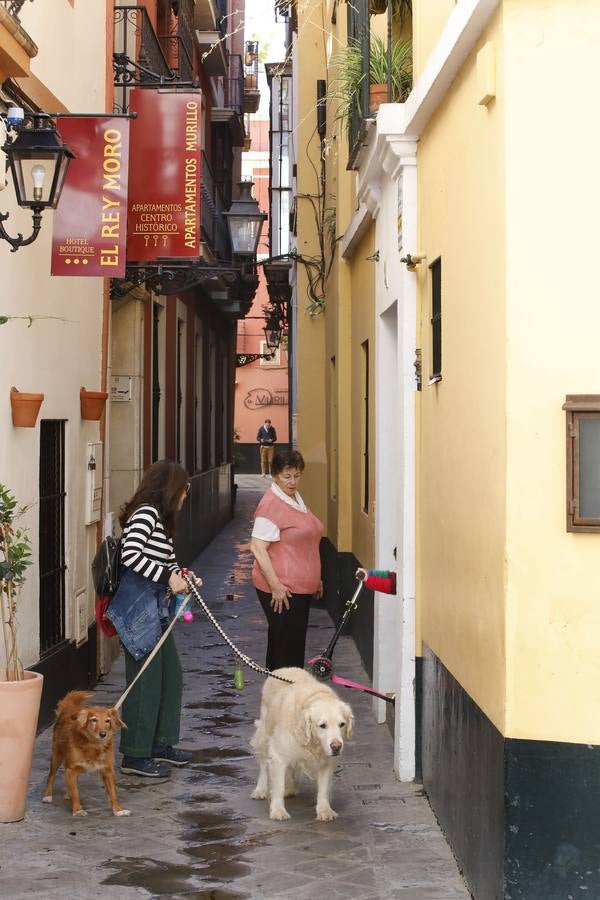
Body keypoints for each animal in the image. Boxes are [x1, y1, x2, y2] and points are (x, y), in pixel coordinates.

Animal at [42, 688, 131, 816]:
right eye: (93, 720)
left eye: (107, 721)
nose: (103, 734)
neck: (93, 745)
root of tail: (67, 711)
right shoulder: (71, 769)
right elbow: (76, 791)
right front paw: (77, 810)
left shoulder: (108, 770)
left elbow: (113, 793)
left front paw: (118, 810)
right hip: (56, 756)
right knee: (51, 776)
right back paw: (47, 796)